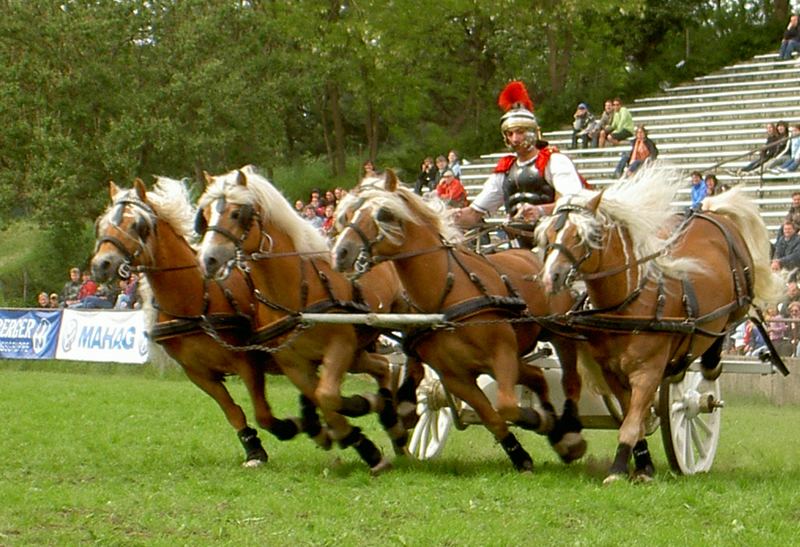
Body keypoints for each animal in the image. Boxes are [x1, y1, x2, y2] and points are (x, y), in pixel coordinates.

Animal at [91, 178, 332, 468]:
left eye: (137, 225)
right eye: (101, 224)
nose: (101, 265)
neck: (196, 298)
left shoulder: (247, 361)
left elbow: (262, 412)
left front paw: (289, 427)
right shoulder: (197, 373)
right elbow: (234, 412)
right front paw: (254, 451)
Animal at [195, 167, 412, 476]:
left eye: (237, 213)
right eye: (205, 214)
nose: (207, 259)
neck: (297, 293)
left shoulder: (340, 346)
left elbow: (328, 395)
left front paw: (360, 415)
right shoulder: (294, 363)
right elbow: (321, 396)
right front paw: (354, 437)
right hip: (359, 351)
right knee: (383, 367)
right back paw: (392, 424)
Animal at [332, 171, 588, 470]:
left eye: (383, 213)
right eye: (348, 214)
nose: (341, 252)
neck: (449, 292)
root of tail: (533, 254)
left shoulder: (502, 353)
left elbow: (506, 406)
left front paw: (542, 424)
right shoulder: (455, 377)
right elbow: (493, 416)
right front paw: (521, 454)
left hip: (560, 334)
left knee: (570, 381)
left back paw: (569, 435)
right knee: (536, 376)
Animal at [536, 166, 784, 484]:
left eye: (582, 236)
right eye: (549, 233)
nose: (549, 277)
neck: (628, 303)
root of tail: (711, 212)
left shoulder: (647, 372)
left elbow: (632, 422)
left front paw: (618, 469)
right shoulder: (612, 372)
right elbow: (633, 418)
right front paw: (643, 465)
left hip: (738, 301)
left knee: (725, 327)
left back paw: (709, 364)